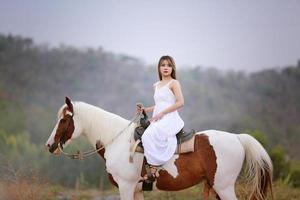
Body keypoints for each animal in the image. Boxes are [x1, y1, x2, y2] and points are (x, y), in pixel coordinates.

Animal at [45, 96, 274, 199]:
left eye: (64, 120)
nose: (49, 145)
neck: (117, 141)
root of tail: (237, 138)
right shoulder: (137, 190)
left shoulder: (125, 187)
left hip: (224, 186)